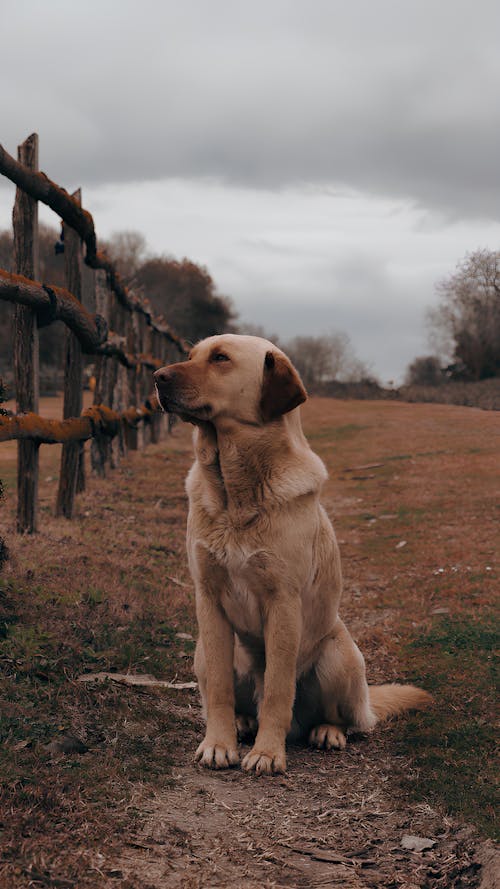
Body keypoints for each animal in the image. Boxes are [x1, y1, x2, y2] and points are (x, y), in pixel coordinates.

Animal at [154, 332, 432, 772]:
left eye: (221, 359)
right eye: (191, 354)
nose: (157, 377)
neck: (236, 490)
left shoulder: (282, 602)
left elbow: (278, 690)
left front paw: (268, 752)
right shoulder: (209, 601)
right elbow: (220, 690)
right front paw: (219, 744)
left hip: (341, 655)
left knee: (343, 719)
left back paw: (326, 732)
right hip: (201, 651)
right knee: (230, 694)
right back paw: (242, 722)